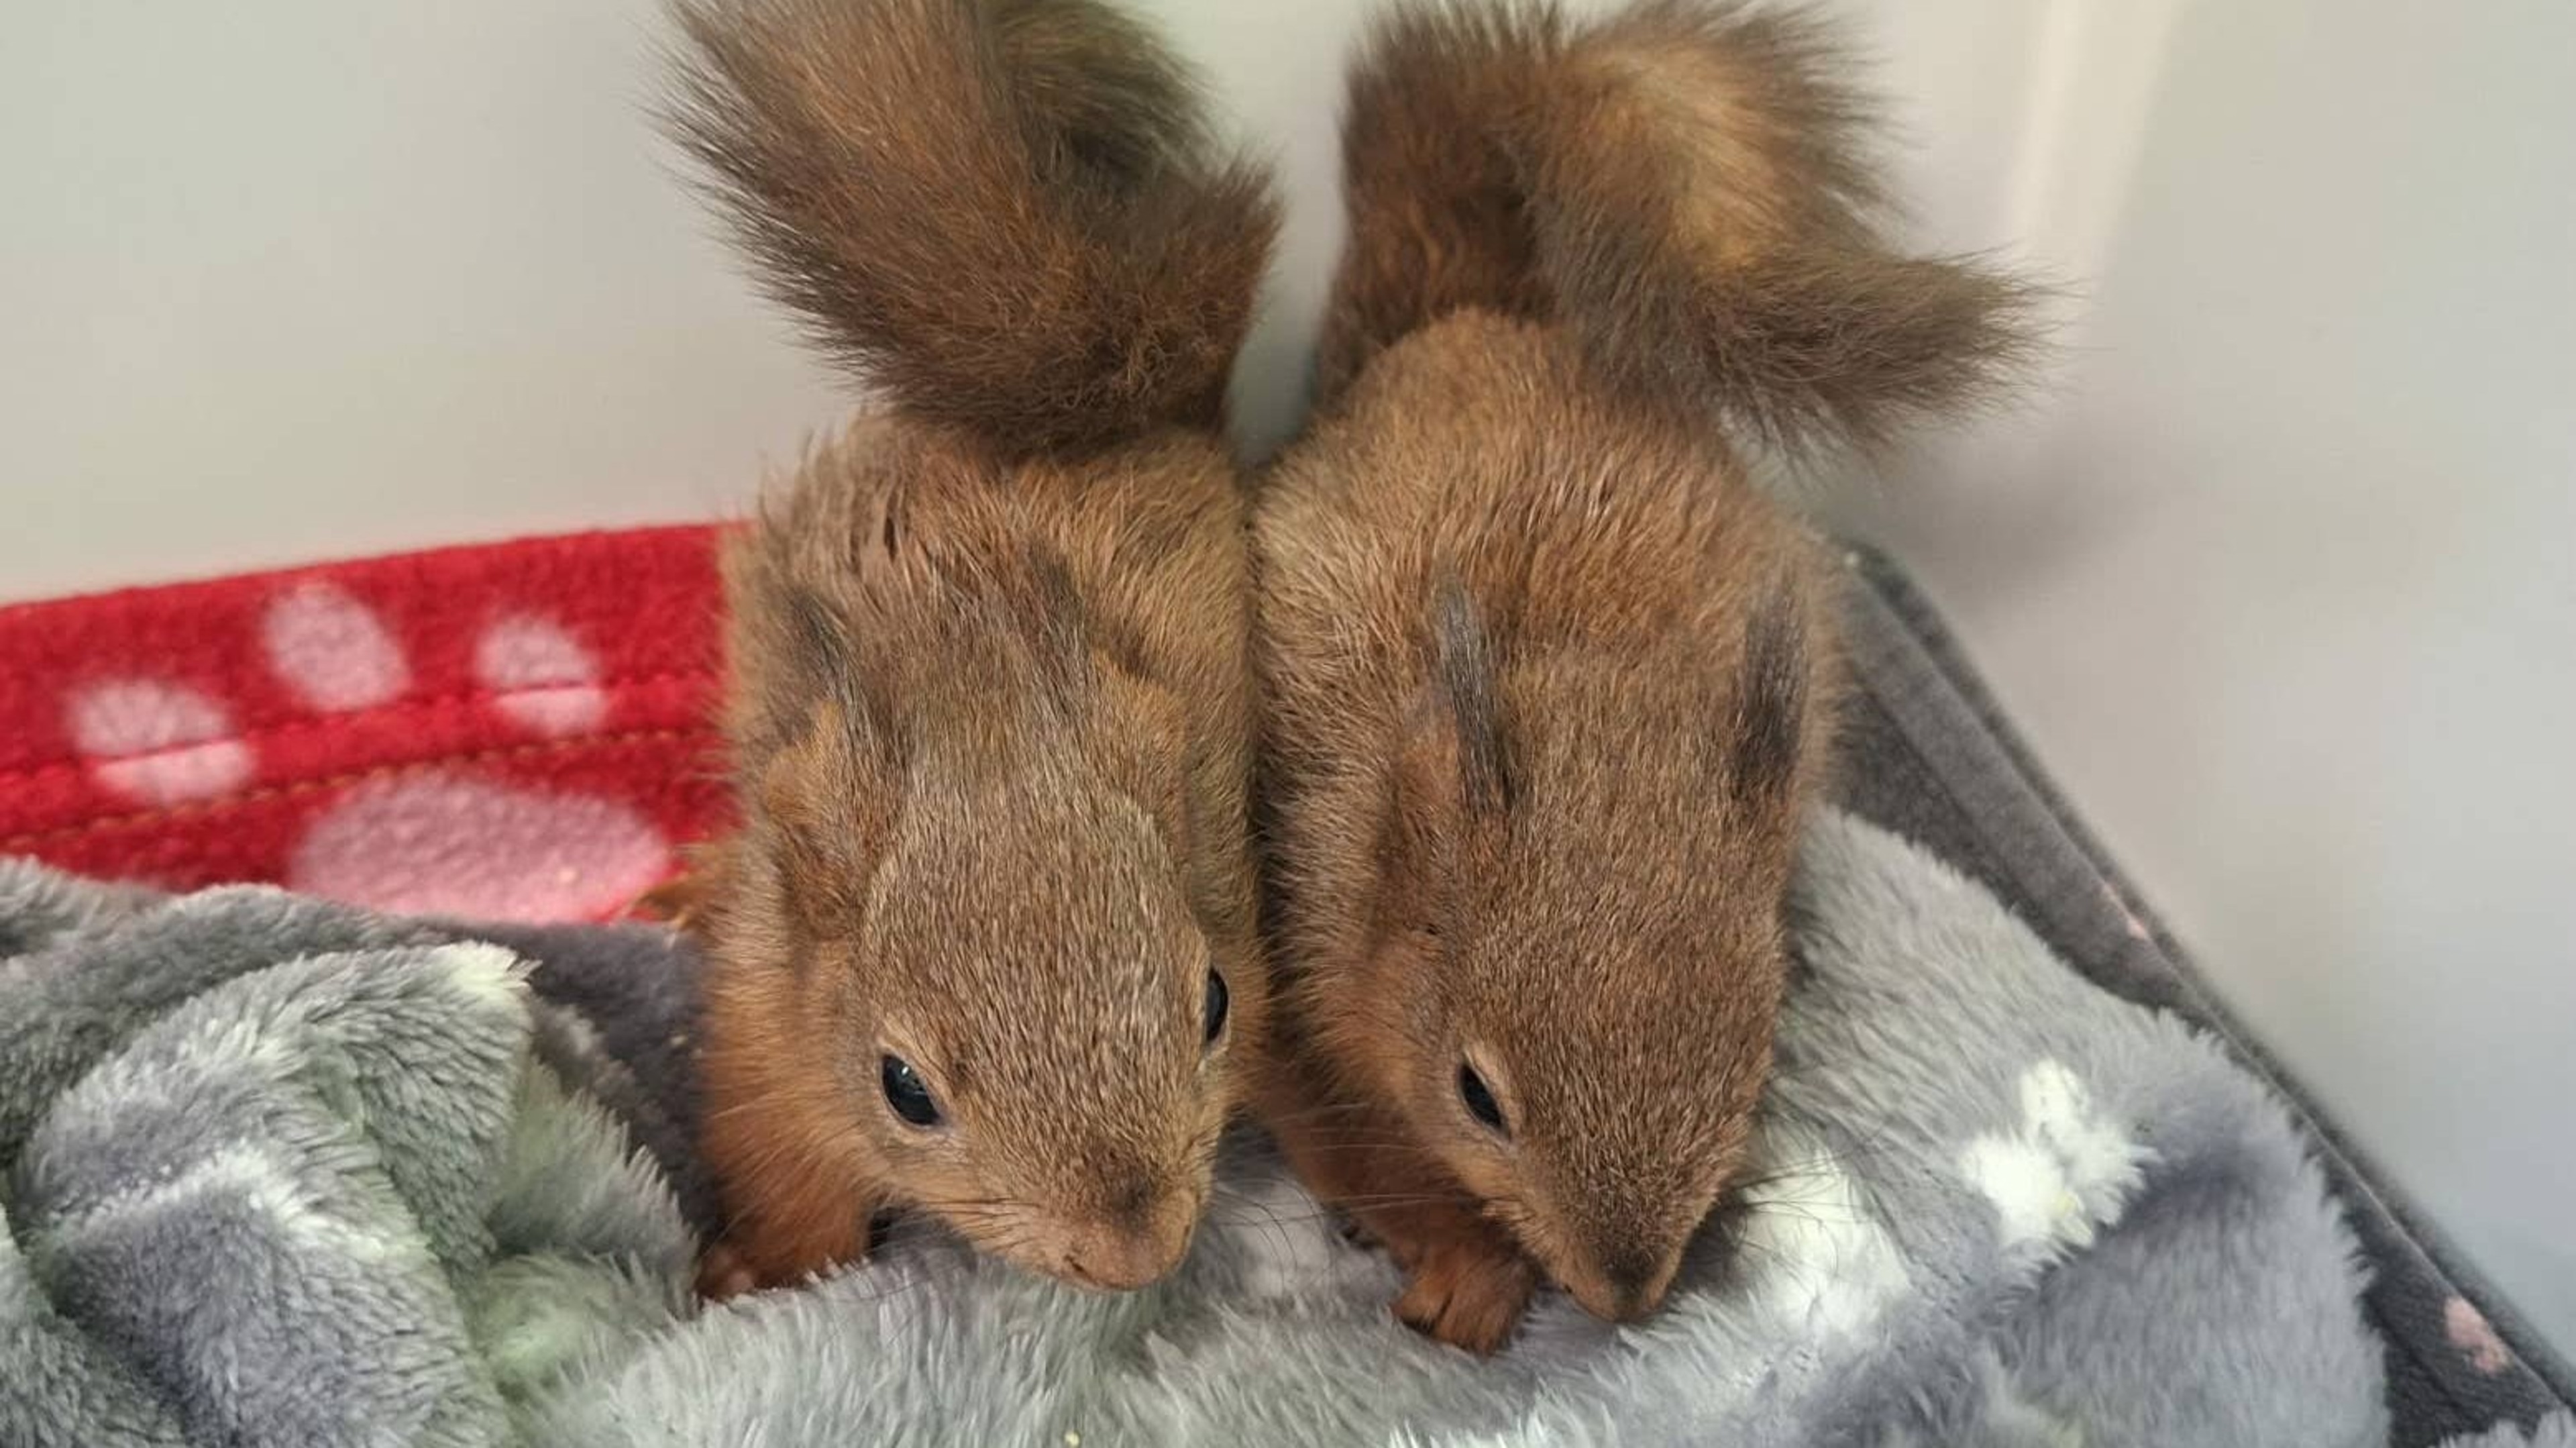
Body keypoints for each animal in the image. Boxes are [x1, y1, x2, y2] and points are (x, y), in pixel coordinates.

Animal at [657, 0, 1275, 1297]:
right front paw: (761, 1273)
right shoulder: (768, 1025)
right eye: (904, 1088)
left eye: (1215, 1001)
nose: (1132, 1253)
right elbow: (782, 1159)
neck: (973, 697)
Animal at [1248, 0, 2040, 1352]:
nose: (1626, 1292)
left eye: (1756, 1050)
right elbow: (1359, 1142)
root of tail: (1479, 322)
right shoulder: (1295, 959)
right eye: (1476, 1094)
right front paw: (1465, 1266)